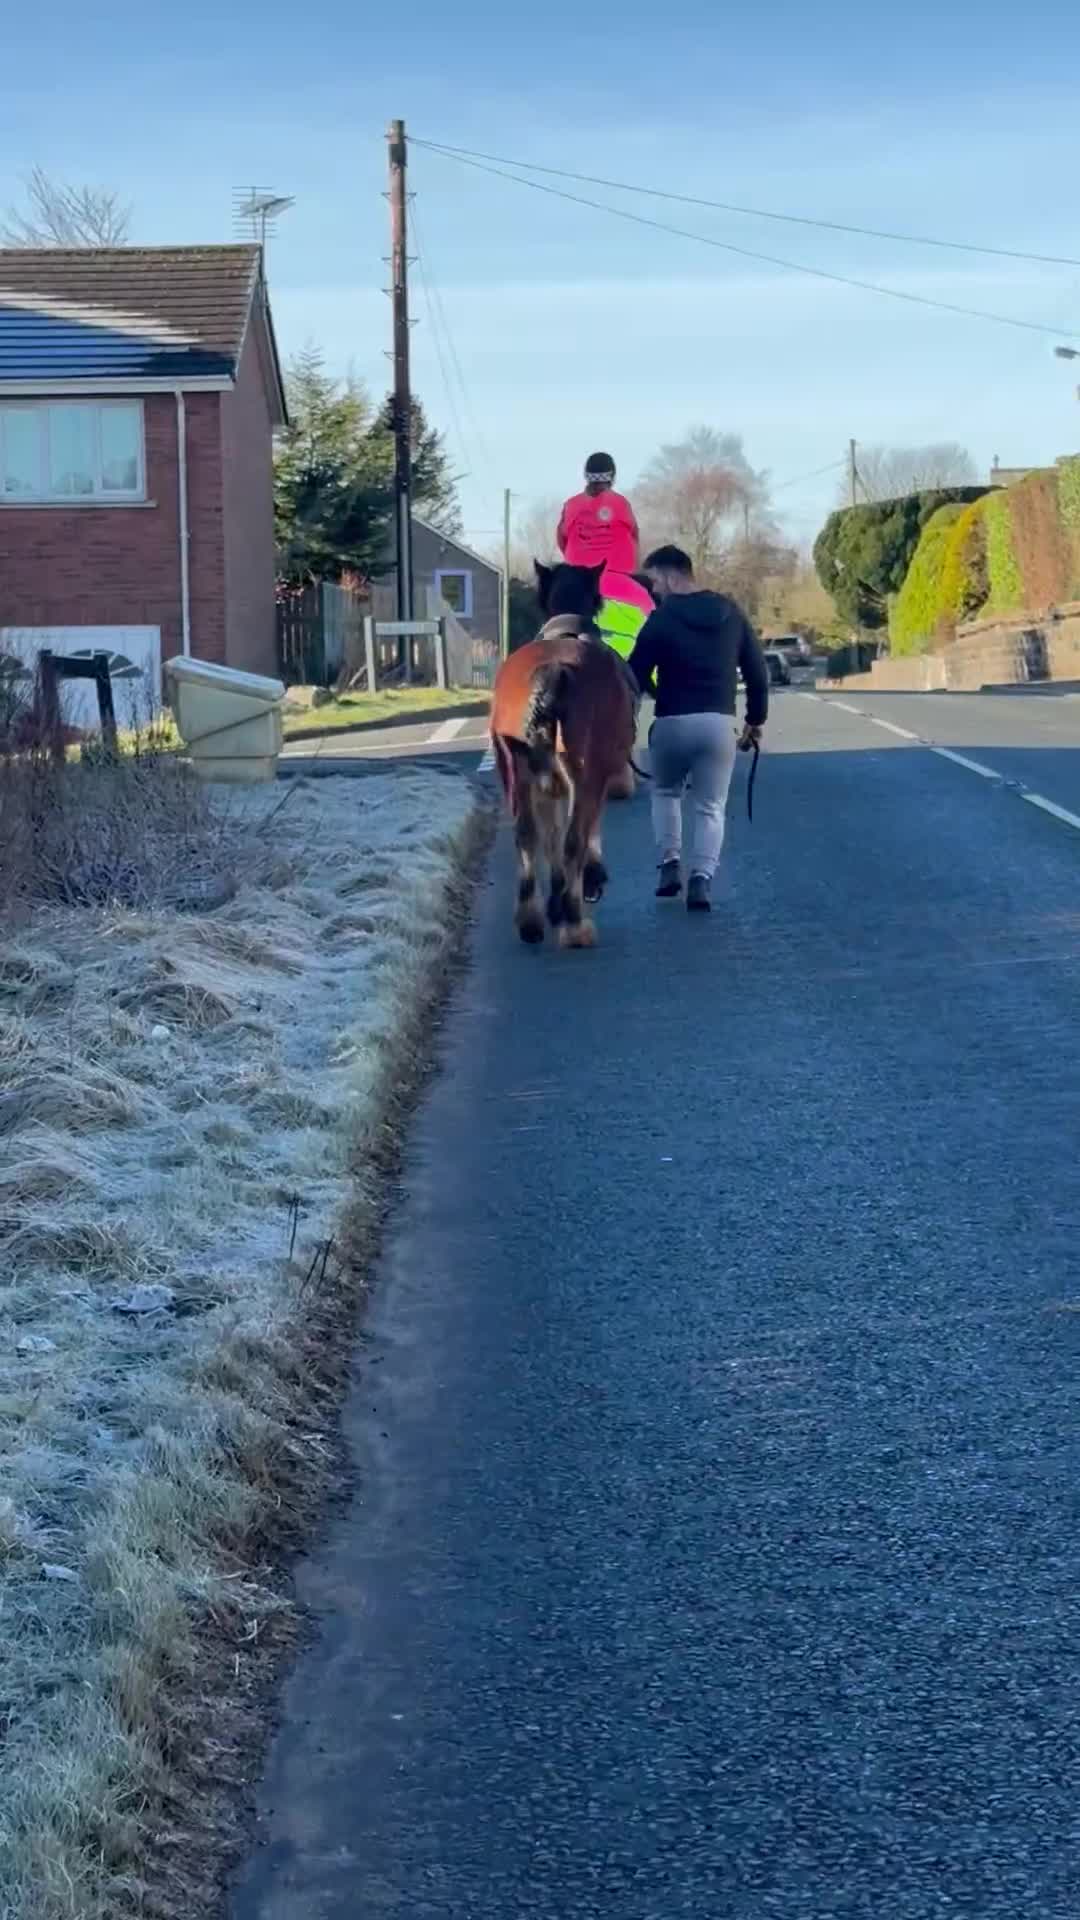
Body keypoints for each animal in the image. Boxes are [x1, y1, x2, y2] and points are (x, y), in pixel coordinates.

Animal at [489, 561, 637, 948]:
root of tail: (552, 670)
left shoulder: (547, 783)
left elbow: (549, 837)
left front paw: (554, 901)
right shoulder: (594, 780)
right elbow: (579, 836)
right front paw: (587, 882)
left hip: (515, 771)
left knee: (526, 835)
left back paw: (531, 920)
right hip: (585, 773)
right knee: (574, 841)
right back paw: (574, 925)